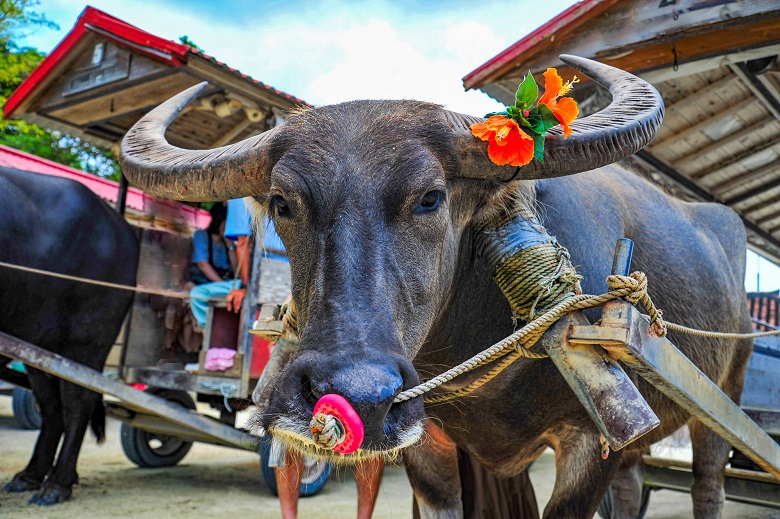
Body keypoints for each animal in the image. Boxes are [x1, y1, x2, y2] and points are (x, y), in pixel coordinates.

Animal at [0, 169, 138, 506]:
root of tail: (120, 226)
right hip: (40, 348)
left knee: (78, 402)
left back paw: (56, 484)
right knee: (52, 407)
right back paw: (32, 476)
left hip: (86, 342)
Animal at [120, 54, 748, 516]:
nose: (358, 395)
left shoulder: (588, 443)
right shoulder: (428, 448)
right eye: (282, 202)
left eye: (430, 197)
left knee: (708, 482)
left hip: (724, 399)